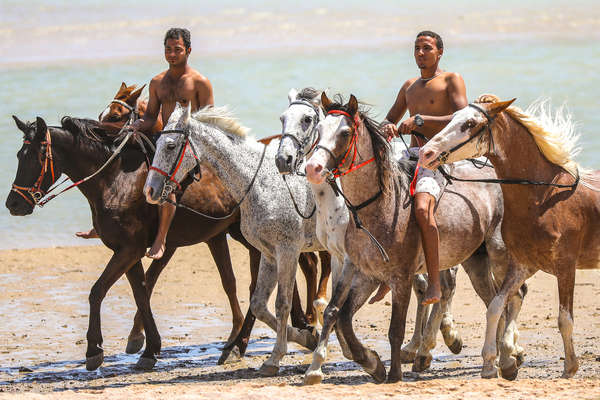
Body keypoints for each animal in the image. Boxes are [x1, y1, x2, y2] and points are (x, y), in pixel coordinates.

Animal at [143, 102, 326, 376]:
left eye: (171, 146)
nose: (150, 190)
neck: (260, 182)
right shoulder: (269, 253)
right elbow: (259, 304)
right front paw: (305, 337)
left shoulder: (287, 251)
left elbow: (281, 303)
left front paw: (275, 357)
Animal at [276, 88, 468, 384]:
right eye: (283, 118)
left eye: (307, 120)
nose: (284, 160)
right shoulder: (341, 257)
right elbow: (334, 309)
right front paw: (346, 361)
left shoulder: (351, 261)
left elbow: (335, 310)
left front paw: (324, 363)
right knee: (428, 287)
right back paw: (416, 348)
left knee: (445, 286)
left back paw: (438, 343)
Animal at [304, 93, 524, 382]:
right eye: (318, 130)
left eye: (345, 132)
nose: (313, 168)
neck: (378, 207)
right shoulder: (366, 274)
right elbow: (342, 317)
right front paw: (372, 363)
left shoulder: (401, 277)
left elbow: (395, 329)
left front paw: (394, 373)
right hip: (476, 260)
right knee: (492, 300)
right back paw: (494, 358)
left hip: (498, 255)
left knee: (511, 296)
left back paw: (507, 356)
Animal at [420, 94, 600, 378]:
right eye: (453, 118)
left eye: (470, 123)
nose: (426, 153)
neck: (544, 198)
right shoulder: (521, 264)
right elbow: (496, 306)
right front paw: (492, 363)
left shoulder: (566, 266)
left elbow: (565, 319)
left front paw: (569, 367)